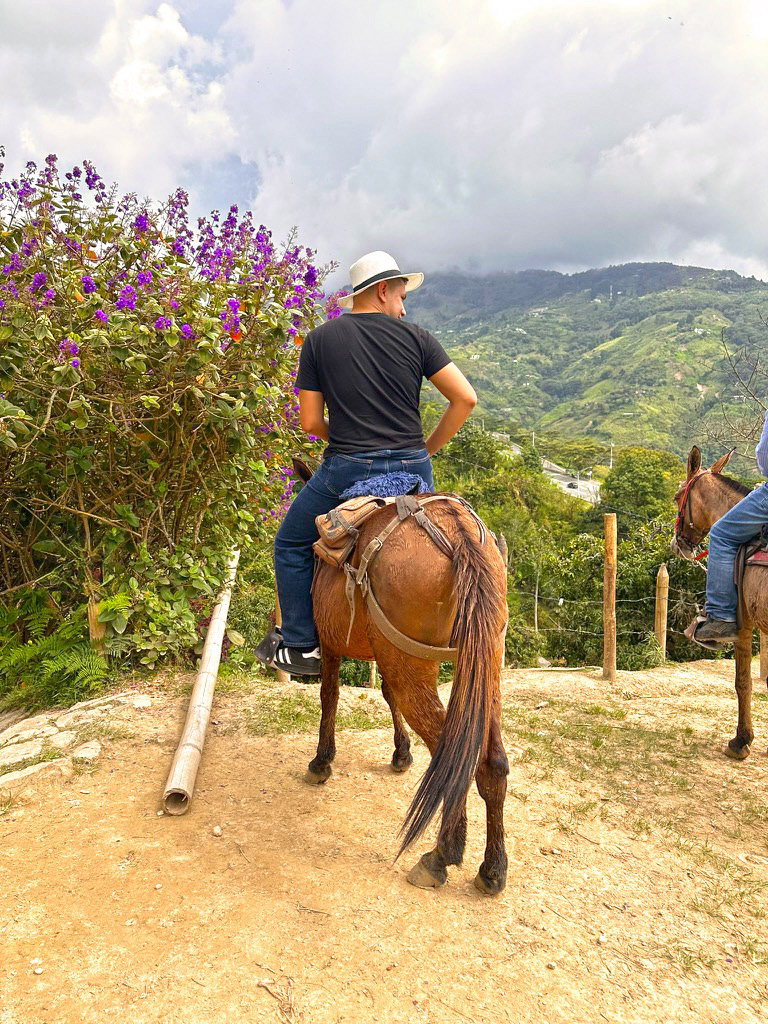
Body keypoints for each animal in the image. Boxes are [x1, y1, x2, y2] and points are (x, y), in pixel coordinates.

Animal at [290, 459, 510, 894]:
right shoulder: (384, 654)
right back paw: (492, 868)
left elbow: (329, 696)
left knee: (455, 757)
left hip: (416, 664)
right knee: (492, 760)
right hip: (482, 664)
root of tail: (457, 531)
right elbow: (386, 695)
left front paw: (322, 761)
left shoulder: (332, 643)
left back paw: (441, 856)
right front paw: (401, 753)